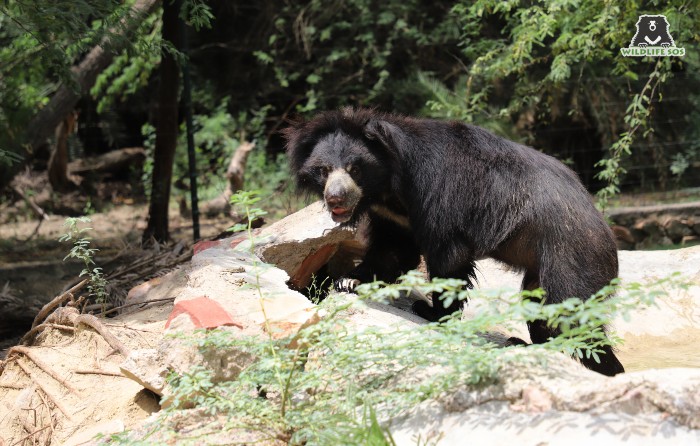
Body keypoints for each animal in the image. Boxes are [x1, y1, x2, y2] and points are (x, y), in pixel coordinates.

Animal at [282, 108, 628, 376]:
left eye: (355, 168)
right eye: (323, 170)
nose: (335, 198)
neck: (387, 188)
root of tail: (607, 233)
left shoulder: (436, 194)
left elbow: (448, 257)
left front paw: (430, 311)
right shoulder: (394, 216)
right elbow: (392, 250)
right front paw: (348, 280)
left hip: (570, 257)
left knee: (573, 314)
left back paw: (608, 369)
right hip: (540, 270)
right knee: (540, 311)